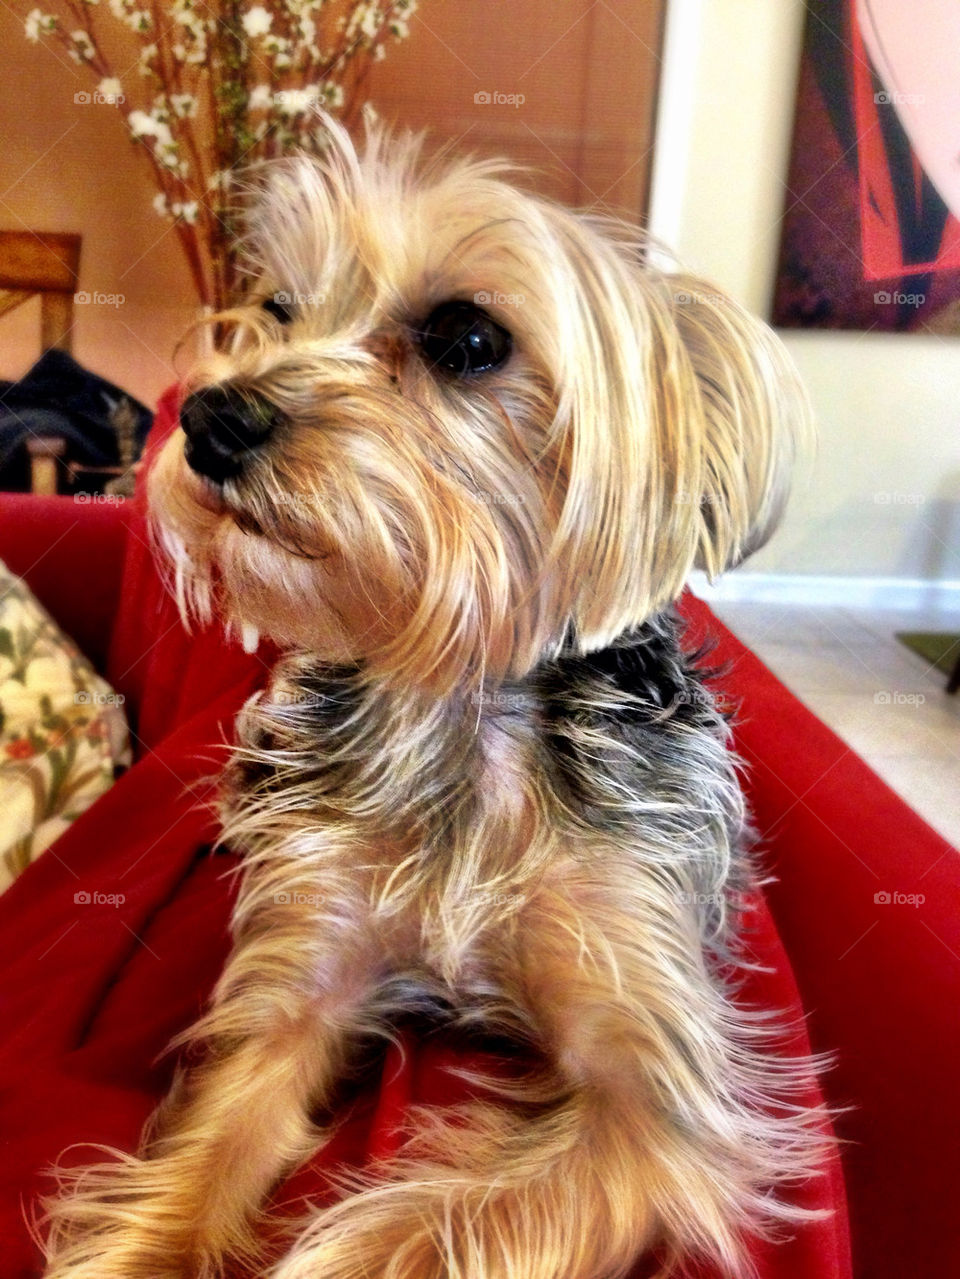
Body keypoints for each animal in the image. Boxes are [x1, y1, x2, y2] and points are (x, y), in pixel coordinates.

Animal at [45, 120, 823, 1279]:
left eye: (467, 337)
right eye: (280, 308)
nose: (213, 415)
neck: (458, 705)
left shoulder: (653, 1101)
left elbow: (436, 1225)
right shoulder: (299, 986)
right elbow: (206, 1152)